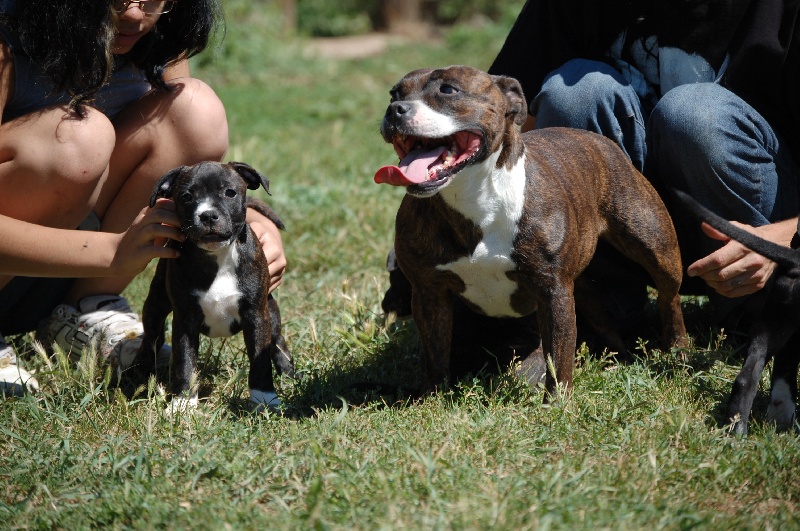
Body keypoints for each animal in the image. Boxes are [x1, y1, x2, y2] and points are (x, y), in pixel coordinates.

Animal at [132, 161, 295, 412]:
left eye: (230, 193)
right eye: (186, 197)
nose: (208, 215)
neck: (218, 256)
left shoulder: (256, 315)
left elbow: (260, 360)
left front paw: (264, 399)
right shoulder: (185, 320)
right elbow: (185, 362)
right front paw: (183, 404)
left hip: (270, 309)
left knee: (276, 339)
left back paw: (287, 369)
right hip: (155, 304)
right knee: (152, 337)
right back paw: (140, 370)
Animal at [374, 65, 687, 397]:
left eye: (448, 90)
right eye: (395, 94)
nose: (395, 109)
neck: (473, 199)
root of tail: (598, 140)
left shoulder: (552, 291)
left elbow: (558, 353)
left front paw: (557, 401)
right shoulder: (428, 292)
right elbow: (435, 353)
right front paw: (432, 397)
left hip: (654, 242)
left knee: (669, 295)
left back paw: (677, 349)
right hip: (582, 284)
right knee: (599, 314)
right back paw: (619, 353)